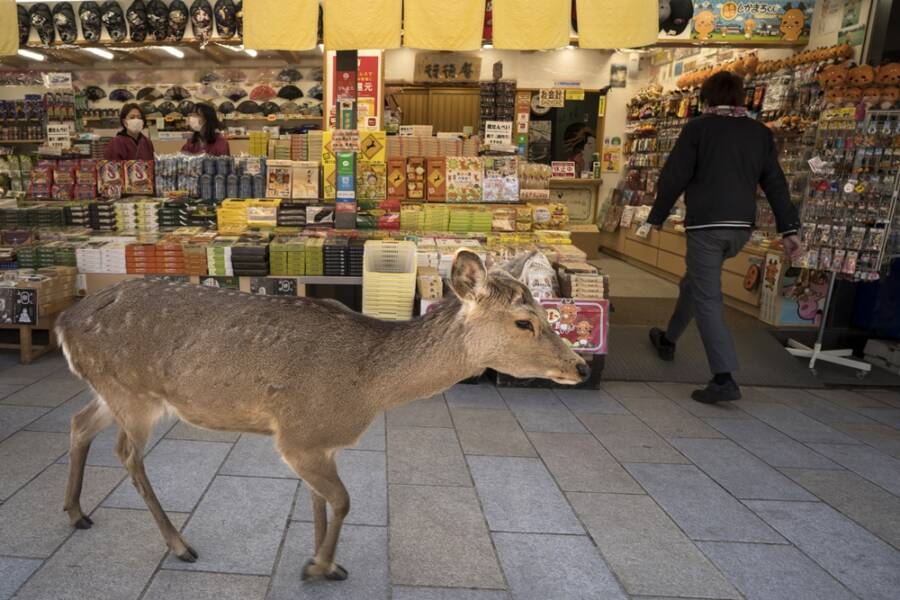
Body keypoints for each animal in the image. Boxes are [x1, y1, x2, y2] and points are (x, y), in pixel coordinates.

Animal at [58, 250, 592, 580]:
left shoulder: (317, 442)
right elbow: (342, 501)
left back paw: (77, 513)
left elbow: (319, 501)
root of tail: (66, 321)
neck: (367, 386)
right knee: (126, 454)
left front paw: (324, 560)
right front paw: (319, 567)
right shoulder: (297, 435)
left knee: (79, 423)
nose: (581, 365)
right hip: (133, 393)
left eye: (545, 311)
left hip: (108, 390)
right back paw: (179, 544)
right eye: (524, 322)